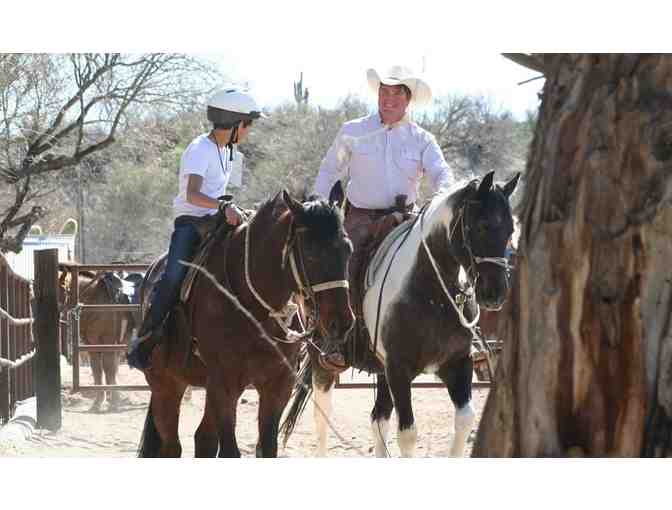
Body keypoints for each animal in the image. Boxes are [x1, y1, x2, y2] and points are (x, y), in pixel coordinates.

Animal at [59, 268, 135, 412]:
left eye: (61, 288)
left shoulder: (108, 342)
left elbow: (109, 369)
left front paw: (114, 401)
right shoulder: (91, 344)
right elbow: (97, 370)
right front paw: (99, 401)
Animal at [137, 191, 356, 458]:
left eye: (348, 250)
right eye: (311, 253)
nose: (342, 322)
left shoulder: (278, 385)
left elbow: (267, 447)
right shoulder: (224, 383)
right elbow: (230, 451)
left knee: (204, 439)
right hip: (166, 383)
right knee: (172, 446)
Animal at [284, 171, 520, 458]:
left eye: (510, 230)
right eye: (482, 225)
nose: (495, 293)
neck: (431, 292)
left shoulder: (457, 364)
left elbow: (465, 420)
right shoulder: (399, 369)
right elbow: (408, 435)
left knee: (378, 420)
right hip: (325, 361)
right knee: (323, 415)